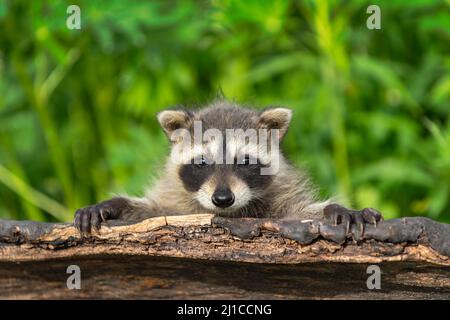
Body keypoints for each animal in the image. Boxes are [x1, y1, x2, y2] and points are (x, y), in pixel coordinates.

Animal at [74, 101, 384, 234]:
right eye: (201, 162)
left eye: (244, 161)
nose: (222, 199)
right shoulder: (178, 202)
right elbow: (155, 211)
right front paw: (113, 204)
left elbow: (299, 213)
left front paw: (339, 209)